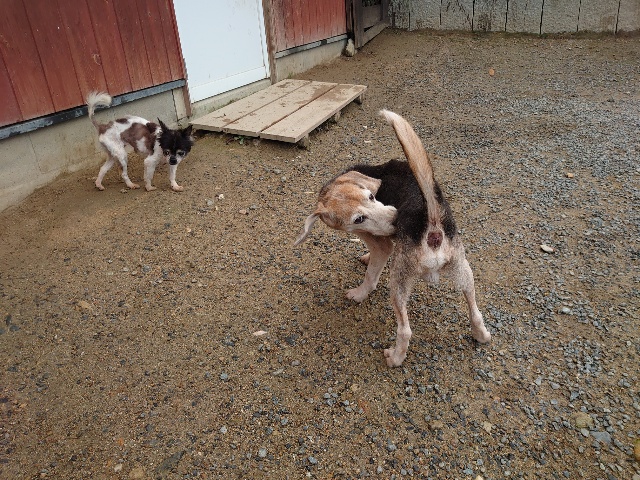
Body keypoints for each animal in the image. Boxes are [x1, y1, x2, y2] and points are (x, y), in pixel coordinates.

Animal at [295, 110, 491, 367]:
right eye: (358, 218)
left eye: (371, 196)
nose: (396, 219)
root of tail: (433, 225)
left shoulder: (382, 245)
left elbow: (370, 276)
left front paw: (359, 293)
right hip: (464, 270)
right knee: (475, 311)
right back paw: (481, 335)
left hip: (398, 281)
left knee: (405, 330)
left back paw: (395, 357)